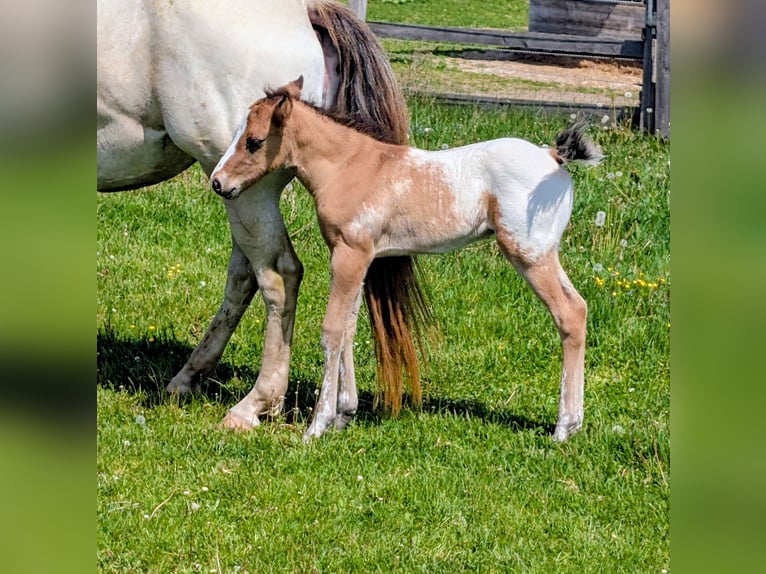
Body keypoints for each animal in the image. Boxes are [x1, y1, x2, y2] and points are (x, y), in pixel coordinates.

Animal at [211, 77, 604, 442]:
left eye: (254, 141)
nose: (218, 182)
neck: (350, 167)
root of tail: (552, 158)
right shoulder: (360, 257)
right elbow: (350, 328)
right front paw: (344, 415)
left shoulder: (349, 255)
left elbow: (332, 331)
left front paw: (317, 427)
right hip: (544, 254)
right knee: (581, 308)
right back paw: (574, 423)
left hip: (529, 255)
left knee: (569, 314)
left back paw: (563, 427)